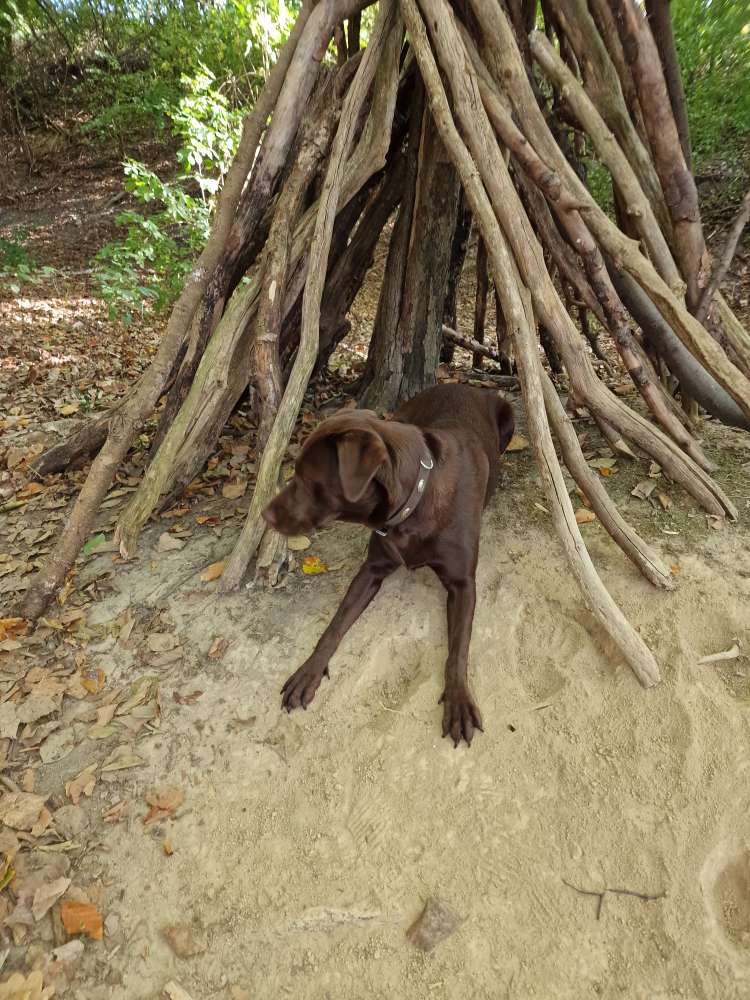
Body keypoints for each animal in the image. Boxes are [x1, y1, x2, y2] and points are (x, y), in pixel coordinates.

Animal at [264, 382, 516, 744]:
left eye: (308, 481)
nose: (264, 515)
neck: (415, 502)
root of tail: (458, 383)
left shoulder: (463, 583)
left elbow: (458, 649)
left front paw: (458, 701)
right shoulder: (372, 568)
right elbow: (334, 626)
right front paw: (309, 670)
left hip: (509, 416)